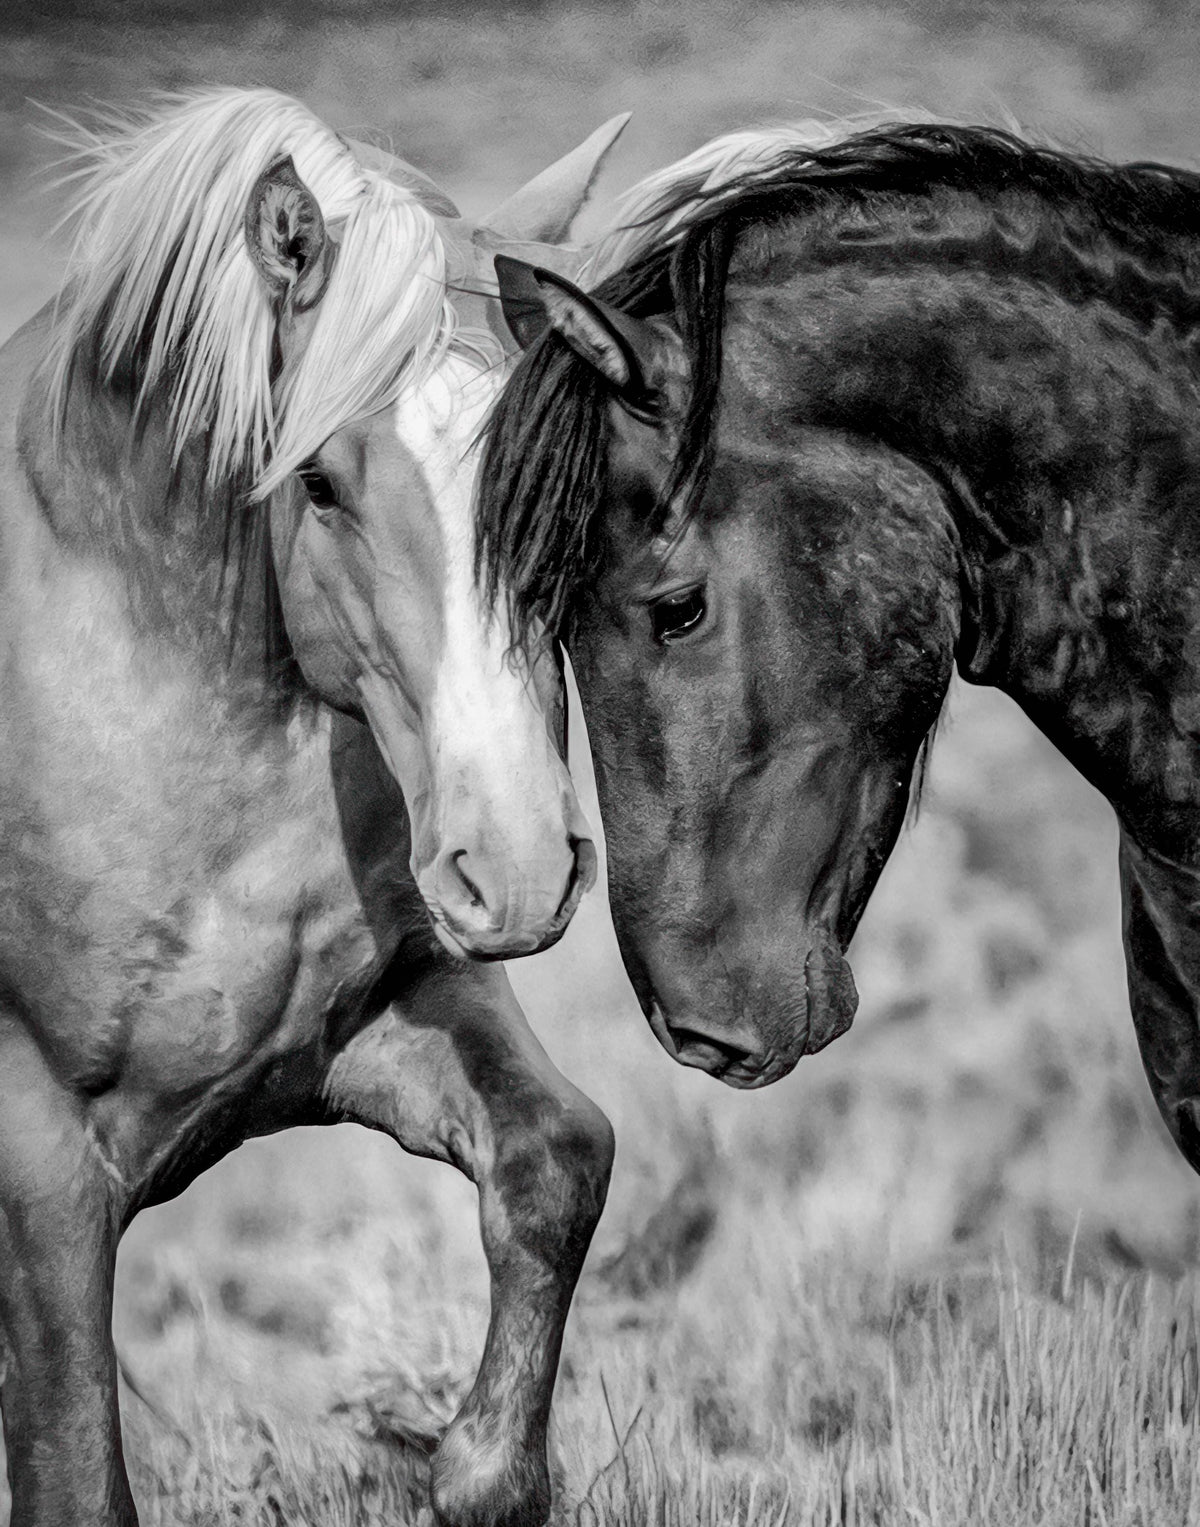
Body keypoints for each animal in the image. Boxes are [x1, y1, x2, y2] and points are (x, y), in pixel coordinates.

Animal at [0, 87, 624, 1527]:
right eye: (323, 482)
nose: (519, 868)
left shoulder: (374, 1022)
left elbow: (561, 1155)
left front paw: (473, 1469)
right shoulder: (39, 1164)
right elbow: (74, 1478)